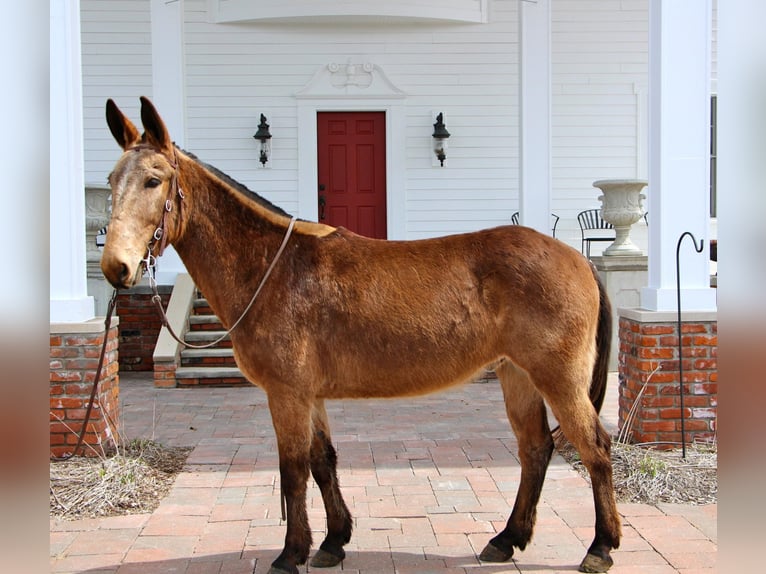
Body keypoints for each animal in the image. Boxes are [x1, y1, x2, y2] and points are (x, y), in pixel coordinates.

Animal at [99, 99, 620, 574]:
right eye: (109, 181)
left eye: (153, 180)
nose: (116, 267)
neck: (273, 268)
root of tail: (580, 260)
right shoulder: (309, 394)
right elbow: (322, 461)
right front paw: (333, 542)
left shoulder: (286, 393)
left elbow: (293, 470)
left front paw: (290, 554)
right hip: (518, 375)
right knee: (536, 449)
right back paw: (507, 539)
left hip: (558, 378)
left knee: (594, 447)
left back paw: (599, 547)